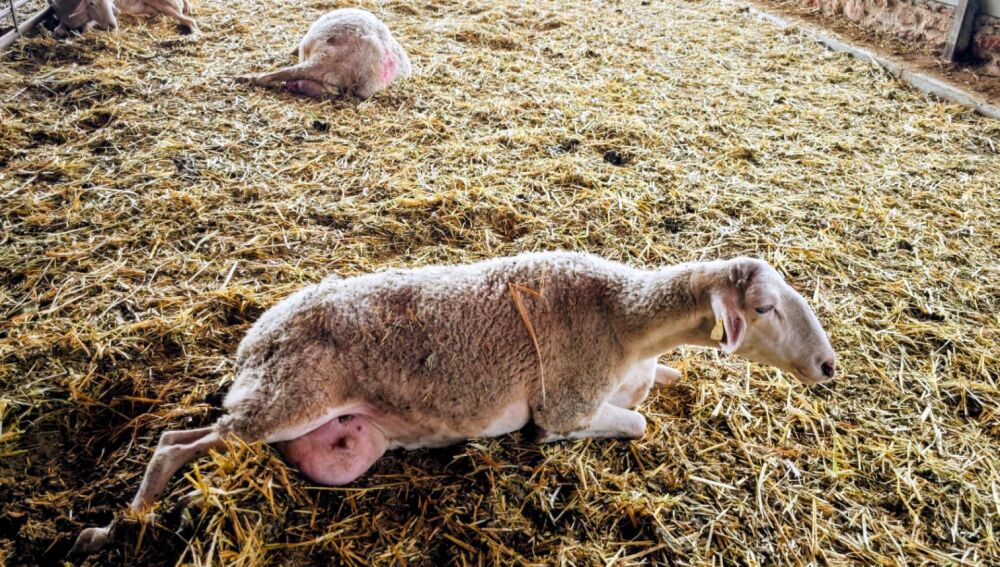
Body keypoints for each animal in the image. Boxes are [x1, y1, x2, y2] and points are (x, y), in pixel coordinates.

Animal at [72, 251, 837, 554]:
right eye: (765, 308)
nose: (828, 366)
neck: (625, 320)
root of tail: (252, 341)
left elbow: (662, 387)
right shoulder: (565, 406)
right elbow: (634, 420)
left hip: (326, 428)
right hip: (283, 397)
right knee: (176, 442)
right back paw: (114, 528)